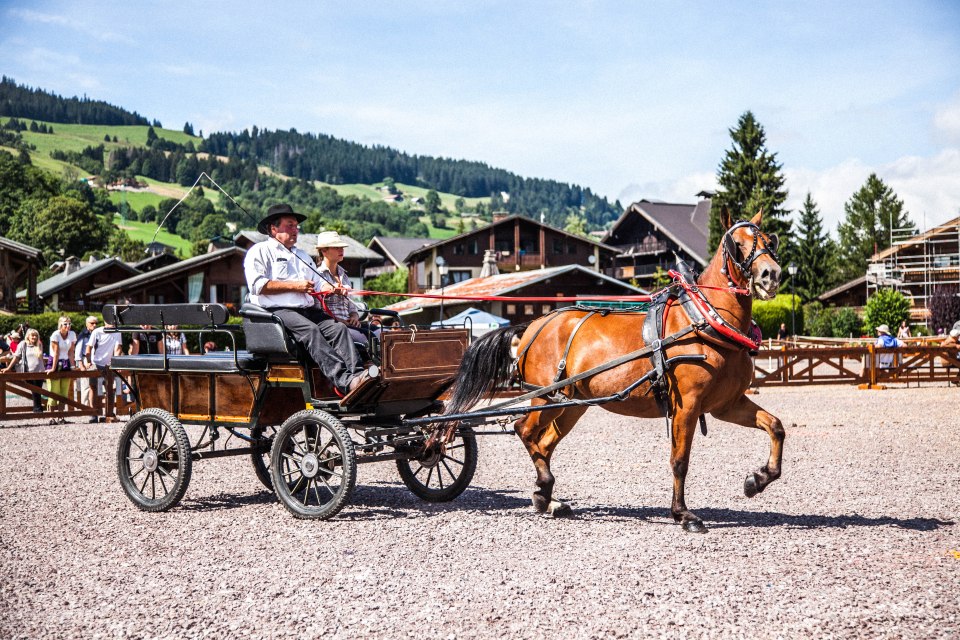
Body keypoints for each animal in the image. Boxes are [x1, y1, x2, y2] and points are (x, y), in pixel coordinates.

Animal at [446, 209, 784, 528]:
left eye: (770, 242)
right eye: (736, 244)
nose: (771, 274)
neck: (703, 321)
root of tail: (533, 325)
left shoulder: (726, 404)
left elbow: (775, 426)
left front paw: (758, 480)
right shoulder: (686, 406)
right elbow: (679, 460)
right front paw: (683, 514)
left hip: (570, 404)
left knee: (543, 442)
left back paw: (547, 498)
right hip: (544, 397)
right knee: (524, 430)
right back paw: (544, 486)